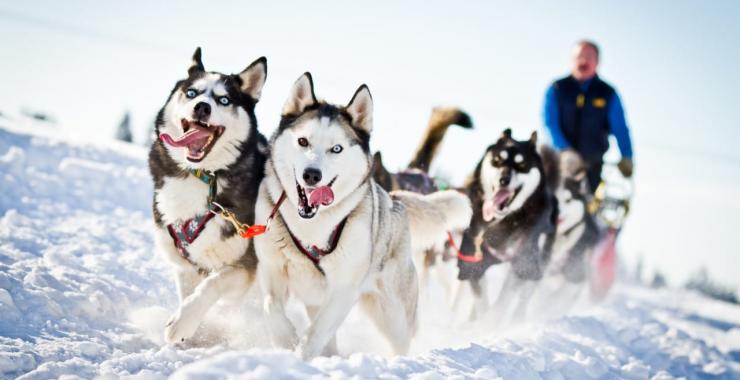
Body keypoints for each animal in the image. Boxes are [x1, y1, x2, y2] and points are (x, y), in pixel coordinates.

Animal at [149, 48, 268, 344]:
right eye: (192, 93)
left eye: (224, 100)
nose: (202, 107)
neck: (202, 175)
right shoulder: (184, 264)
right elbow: (188, 293)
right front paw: (192, 335)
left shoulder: (243, 267)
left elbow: (210, 286)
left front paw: (183, 324)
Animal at [254, 72, 472, 360]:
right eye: (303, 141)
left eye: (336, 149)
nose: (312, 175)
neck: (311, 226)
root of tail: (393, 198)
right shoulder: (272, 271)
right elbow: (271, 308)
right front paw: (287, 341)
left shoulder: (343, 289)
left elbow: (315, 333)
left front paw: (299, 356)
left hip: (393, 314)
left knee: (400, 341)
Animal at [456, 129, 556, 322]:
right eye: (497, 160)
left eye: (521, 164)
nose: (504, 180)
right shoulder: (472, 260)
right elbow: (481, 299)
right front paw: (481, 321)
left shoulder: (523, 261)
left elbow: (503, 301)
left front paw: (493, 321)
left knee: (523, 300)